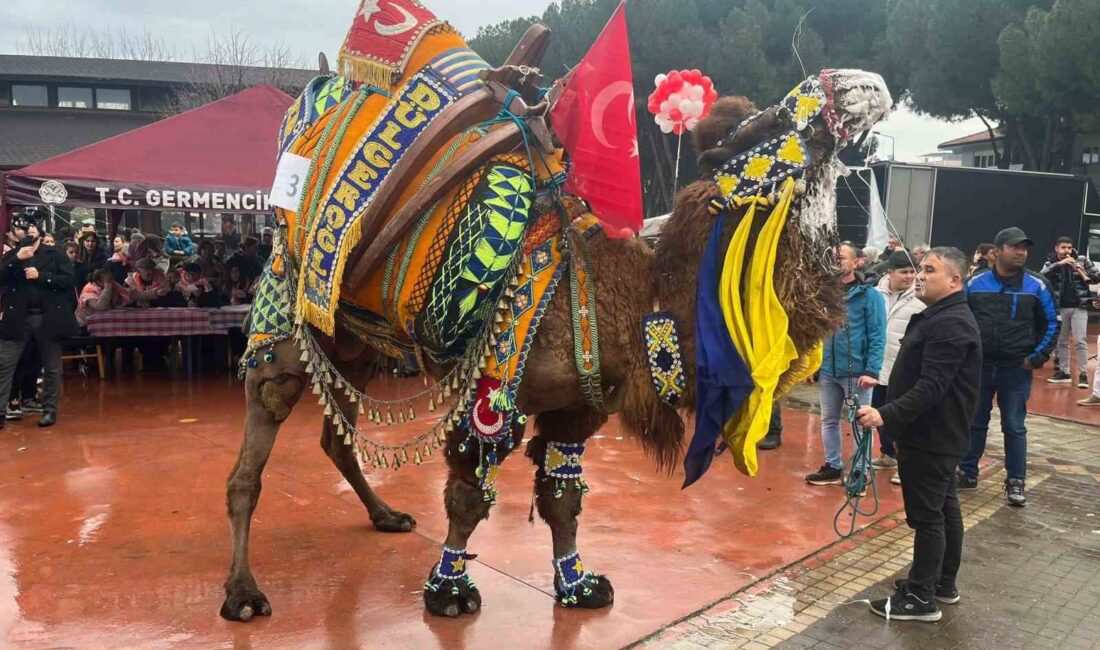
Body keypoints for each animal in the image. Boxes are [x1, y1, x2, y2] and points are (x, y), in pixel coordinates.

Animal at [218, 0, 888, 624]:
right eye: (768, 124)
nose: (867, 84)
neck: (630, 302)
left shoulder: (580, 407)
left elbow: (563, 495)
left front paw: (579, 585)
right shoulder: (493, 390)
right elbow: (470, 496)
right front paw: (450, 593)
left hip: (351, 342)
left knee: (337, 436)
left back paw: (385, 514)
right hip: (282, 316)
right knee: (254, 448)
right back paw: (243, 593)